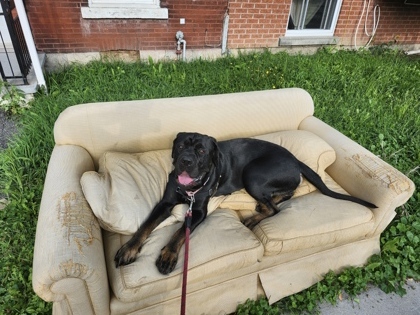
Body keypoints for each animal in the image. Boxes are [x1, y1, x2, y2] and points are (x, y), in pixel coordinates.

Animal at [114, 132, 374, 276]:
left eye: (201, 151)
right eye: (179, 146)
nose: (185, 161)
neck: (189, 190)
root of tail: (296, 159)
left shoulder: (198, 211)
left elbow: (179, 233)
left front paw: (168, 255)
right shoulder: (165, 202)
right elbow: (145, 226)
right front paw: (129, 249)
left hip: (253, 174)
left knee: (275, 208)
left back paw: (252, 218)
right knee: (284, 197)